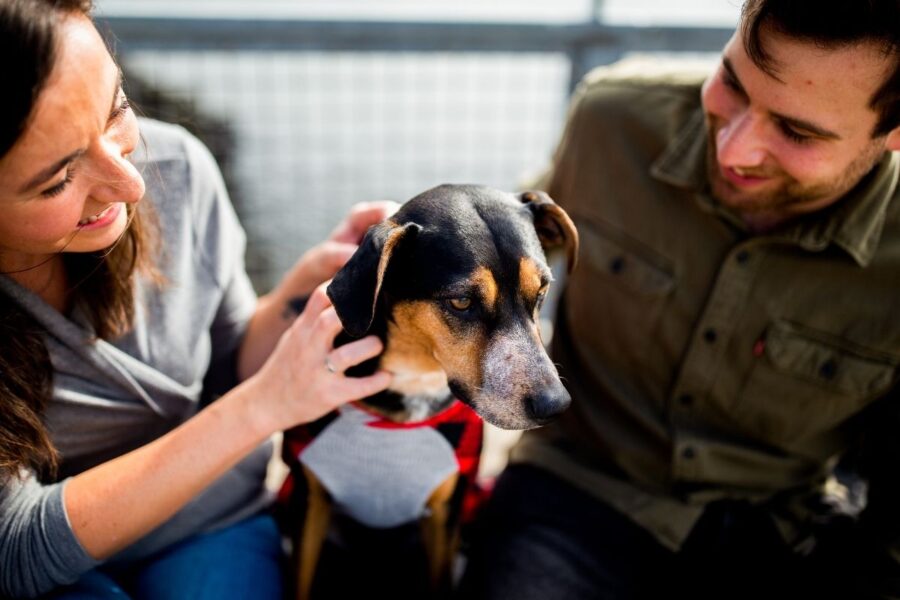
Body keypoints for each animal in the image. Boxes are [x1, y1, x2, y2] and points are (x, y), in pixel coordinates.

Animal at [278, 184, 580, 600]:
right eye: (461, 301)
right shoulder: (308, 503)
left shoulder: (447, 514)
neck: (415, 382)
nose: (555, 404)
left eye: (542, 290)